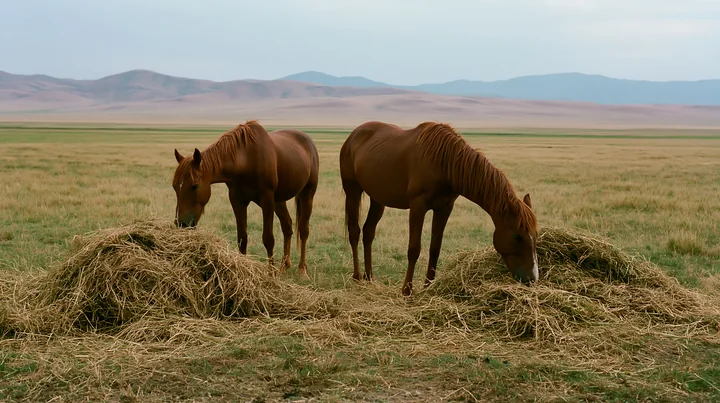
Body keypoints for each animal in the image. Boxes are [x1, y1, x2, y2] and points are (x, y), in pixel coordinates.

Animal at [172, 120, 319, 276]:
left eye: (194, 186)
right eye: (174, 186)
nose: (182, 223)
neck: (245, 159)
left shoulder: (267, 201)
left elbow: (268, 239)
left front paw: (270, 273)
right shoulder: (238, 201)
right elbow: (242, 238)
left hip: (307, 194)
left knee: (303, 230)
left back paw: (302, 269)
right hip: (279, 200)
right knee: (287, 227)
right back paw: (284, 266)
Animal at [340, 121, 539, 296]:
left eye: (535, 235)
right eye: (517, 236)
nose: (532, 279)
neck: (444, 163)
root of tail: (353, 136)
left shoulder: (444, 208)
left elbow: (435, 248)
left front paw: (428, 286)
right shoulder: (418, 206)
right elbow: (414, 249)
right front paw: (407, 291)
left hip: (377, 199)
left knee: (368, 232)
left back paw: (370, 277)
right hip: (353, 191)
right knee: (354, 232)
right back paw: (357, 277)